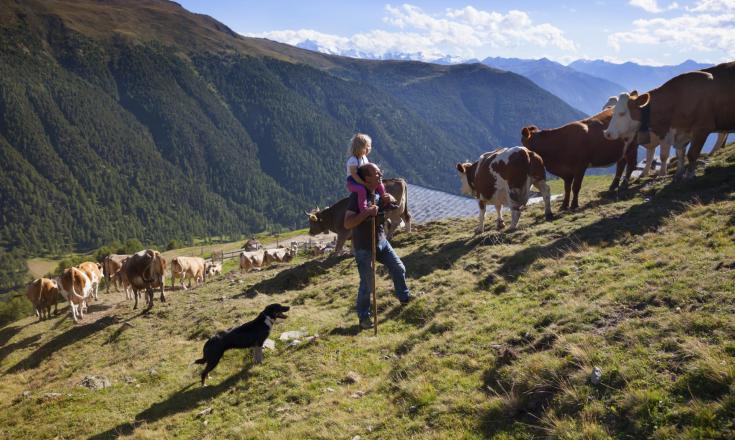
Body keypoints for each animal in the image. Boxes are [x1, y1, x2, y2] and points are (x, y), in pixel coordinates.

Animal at [604, 61, 735, 180]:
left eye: (622, 113)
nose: (607, 133)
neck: (679, 99)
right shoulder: (679, 133)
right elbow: (680, 154)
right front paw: (678, 173)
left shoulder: (702, 128)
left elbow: (689, 154)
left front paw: (686, 175)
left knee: (721, 135)